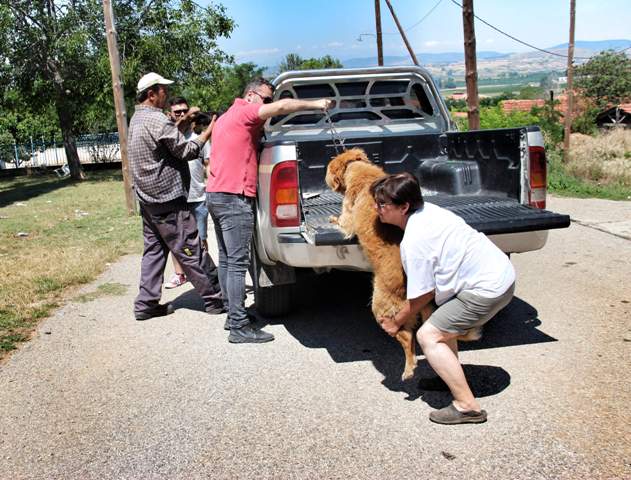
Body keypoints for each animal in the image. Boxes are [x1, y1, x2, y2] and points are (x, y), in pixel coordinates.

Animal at [326, 148, 478, 380]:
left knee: (407, 337)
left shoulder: (348, 220)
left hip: (382, 308)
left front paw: (332, 218)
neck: (361, 173)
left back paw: (408, 369)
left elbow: (342, 221)